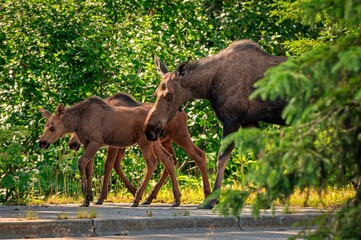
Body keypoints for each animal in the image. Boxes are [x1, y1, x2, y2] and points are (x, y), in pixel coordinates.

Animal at [143, 39, 286, 208]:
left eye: (169, 95)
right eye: (155, 93)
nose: (150, 128)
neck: (208, 88)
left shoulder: (232, 119)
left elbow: (221, 158)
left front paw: (212, 200)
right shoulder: (249, 121)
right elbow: (261, 157)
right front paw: (268, 199)